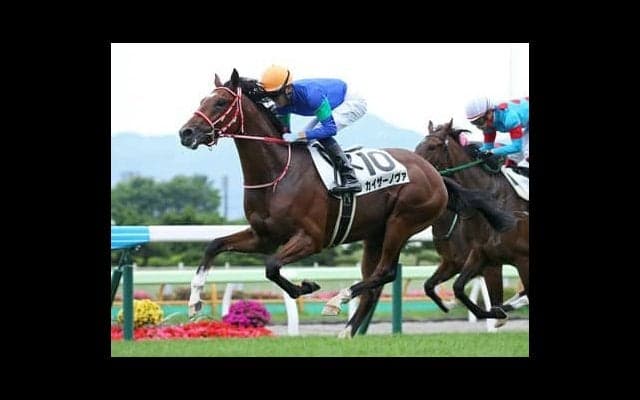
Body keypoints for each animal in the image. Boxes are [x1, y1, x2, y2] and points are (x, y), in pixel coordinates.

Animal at [178, 69, 516, 337]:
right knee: (374, 281)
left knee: (384, 273)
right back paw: (347, 332)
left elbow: (272, 267)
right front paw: (194, 302)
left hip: (403, 221)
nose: (186, 132)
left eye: (220, 103)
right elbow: (214, 246)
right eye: (202, 100)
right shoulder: (263, 236)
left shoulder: (311, 239)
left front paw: (307, 287)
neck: (278, 172)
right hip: (375, 234)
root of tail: (435, 173)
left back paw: (336, 300)